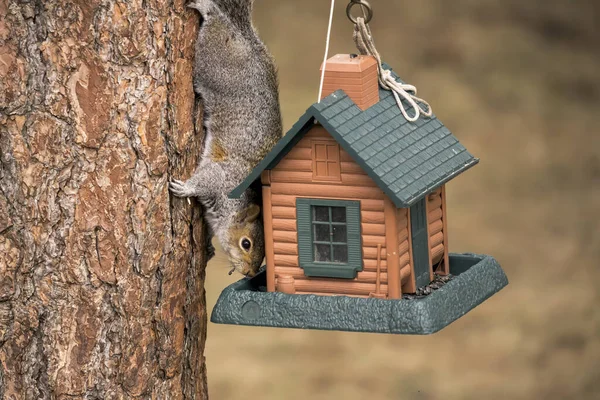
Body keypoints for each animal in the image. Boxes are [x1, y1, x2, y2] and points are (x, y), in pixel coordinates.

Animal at [169, 0, 282, 278]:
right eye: (246, 243)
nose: (251, 273)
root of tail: (244, 37)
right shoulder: (223, 179)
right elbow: (205, 179)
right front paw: (186, 188)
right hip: (215, 60)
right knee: (215, 24)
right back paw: (208, 9)